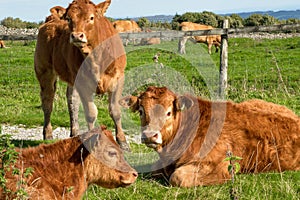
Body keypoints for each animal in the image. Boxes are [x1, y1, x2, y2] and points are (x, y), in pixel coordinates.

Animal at [34, 0, 130, 150]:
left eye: (91, 17)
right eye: (69, 18)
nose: (77, 35)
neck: (96, 57)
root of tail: (52, 20)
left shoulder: (118, 78)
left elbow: (115, 110)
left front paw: (122, 142)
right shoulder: (84, 84)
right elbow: (91, 113)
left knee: (72, 101)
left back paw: (75, 133)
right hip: (44, 71)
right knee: (48, 101)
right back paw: (48, 134)